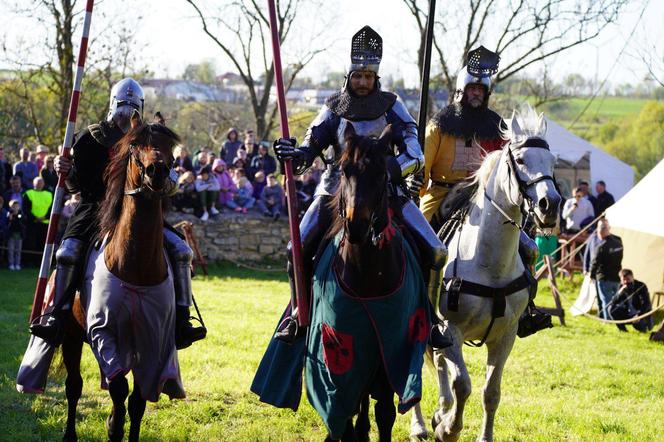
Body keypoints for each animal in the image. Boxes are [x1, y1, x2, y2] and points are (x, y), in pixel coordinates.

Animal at [62, 115, 180, 442]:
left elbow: (138, 400)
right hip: (71, 336)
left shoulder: (155, 342)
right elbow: (117, 388)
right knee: (74, 386)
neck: (135, 266)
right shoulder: (103, 333)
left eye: (169, 146)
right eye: (135, 145)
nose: (157, 171)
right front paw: (113, 426)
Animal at [410, 107, 560, 442]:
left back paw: (440, 409)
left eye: (552, 161)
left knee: (439, 364)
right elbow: (462, 384)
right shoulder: (450, 331)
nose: (551, 205)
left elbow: (491, 392)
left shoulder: (505, 337)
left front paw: (477, 433)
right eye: (520, 160)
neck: (489, 265)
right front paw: (448, 428)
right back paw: (421, 424)